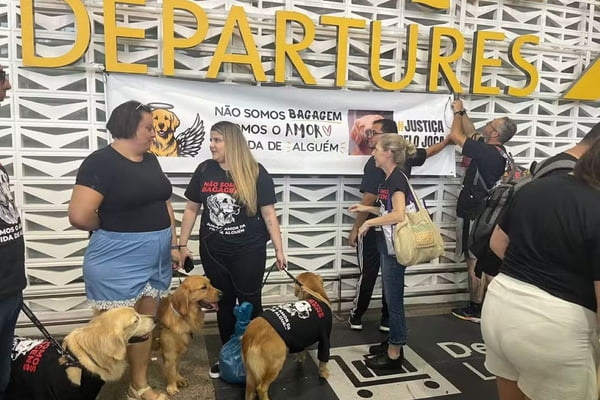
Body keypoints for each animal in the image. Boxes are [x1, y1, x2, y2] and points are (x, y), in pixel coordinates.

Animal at [240, 272, 332, 400]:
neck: (315, 294)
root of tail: (251, 334)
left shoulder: (300, 338)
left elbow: (301, 351)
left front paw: (300, 359)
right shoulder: (324, 339)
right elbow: (323, 359)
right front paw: (323, 373)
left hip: (250, 372)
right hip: (275, 364)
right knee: (261, 388)